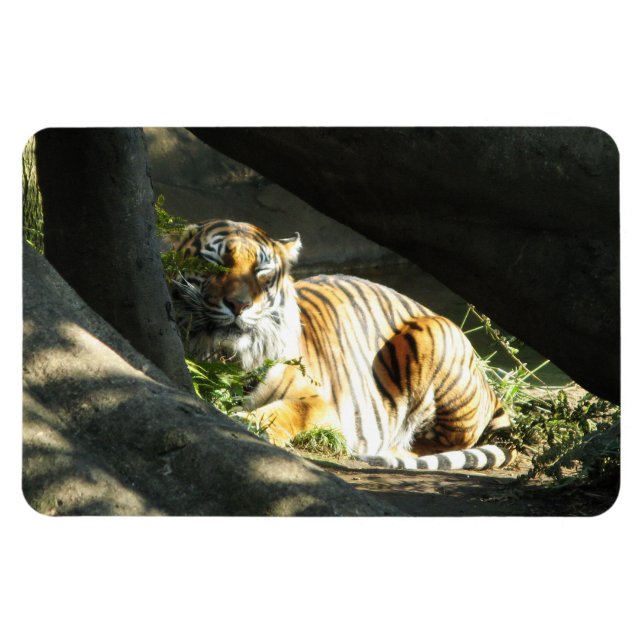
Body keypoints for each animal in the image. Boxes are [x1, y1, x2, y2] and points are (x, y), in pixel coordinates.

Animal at [167, 218, 515, 470]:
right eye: (215, 264)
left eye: (261, 270)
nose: (239, 305)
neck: (227, 356)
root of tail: (487, 384)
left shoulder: (321, 400)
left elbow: (288, 410)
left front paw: (249, 422)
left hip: (434, 336)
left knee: (446, 441)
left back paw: (390, 451)